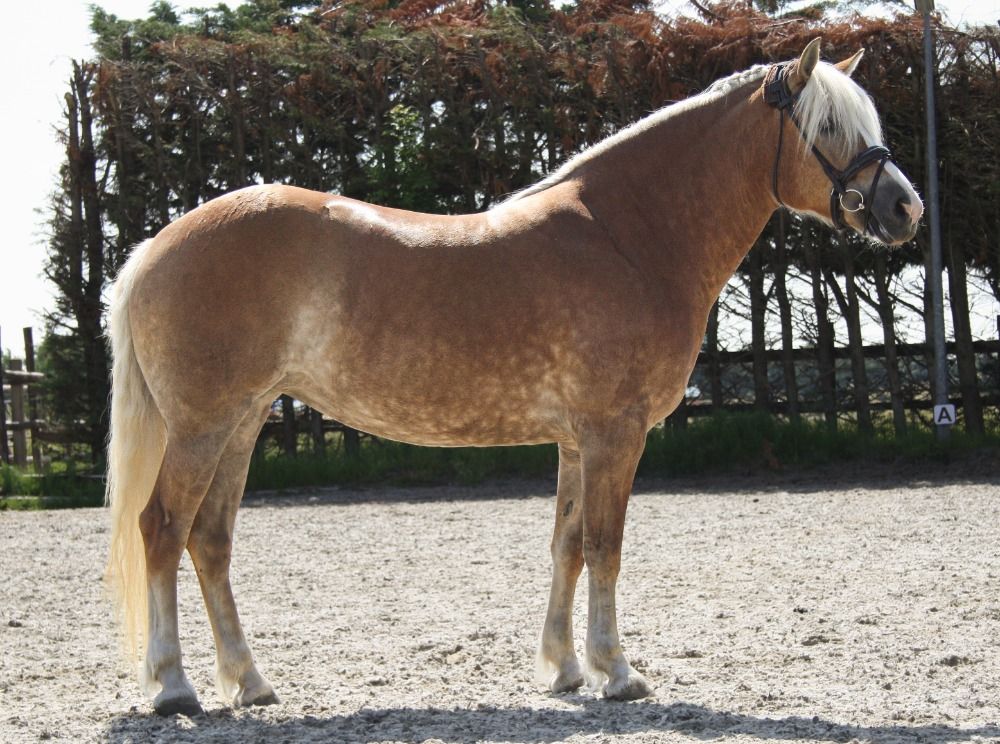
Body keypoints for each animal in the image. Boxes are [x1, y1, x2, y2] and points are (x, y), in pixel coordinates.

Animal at [105, 38, 922, 716]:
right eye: (828, 126)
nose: (905, 206)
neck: (628, 236)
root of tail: (156, 246)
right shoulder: (614, 433)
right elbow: (606, 545)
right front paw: (617, 672)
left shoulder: (576, 440)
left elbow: (567, 545)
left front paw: (562, 670)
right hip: (203, 427)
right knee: (162, 528)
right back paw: (173, 688)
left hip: (242, 423)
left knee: (210, 540)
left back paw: (249, 682)